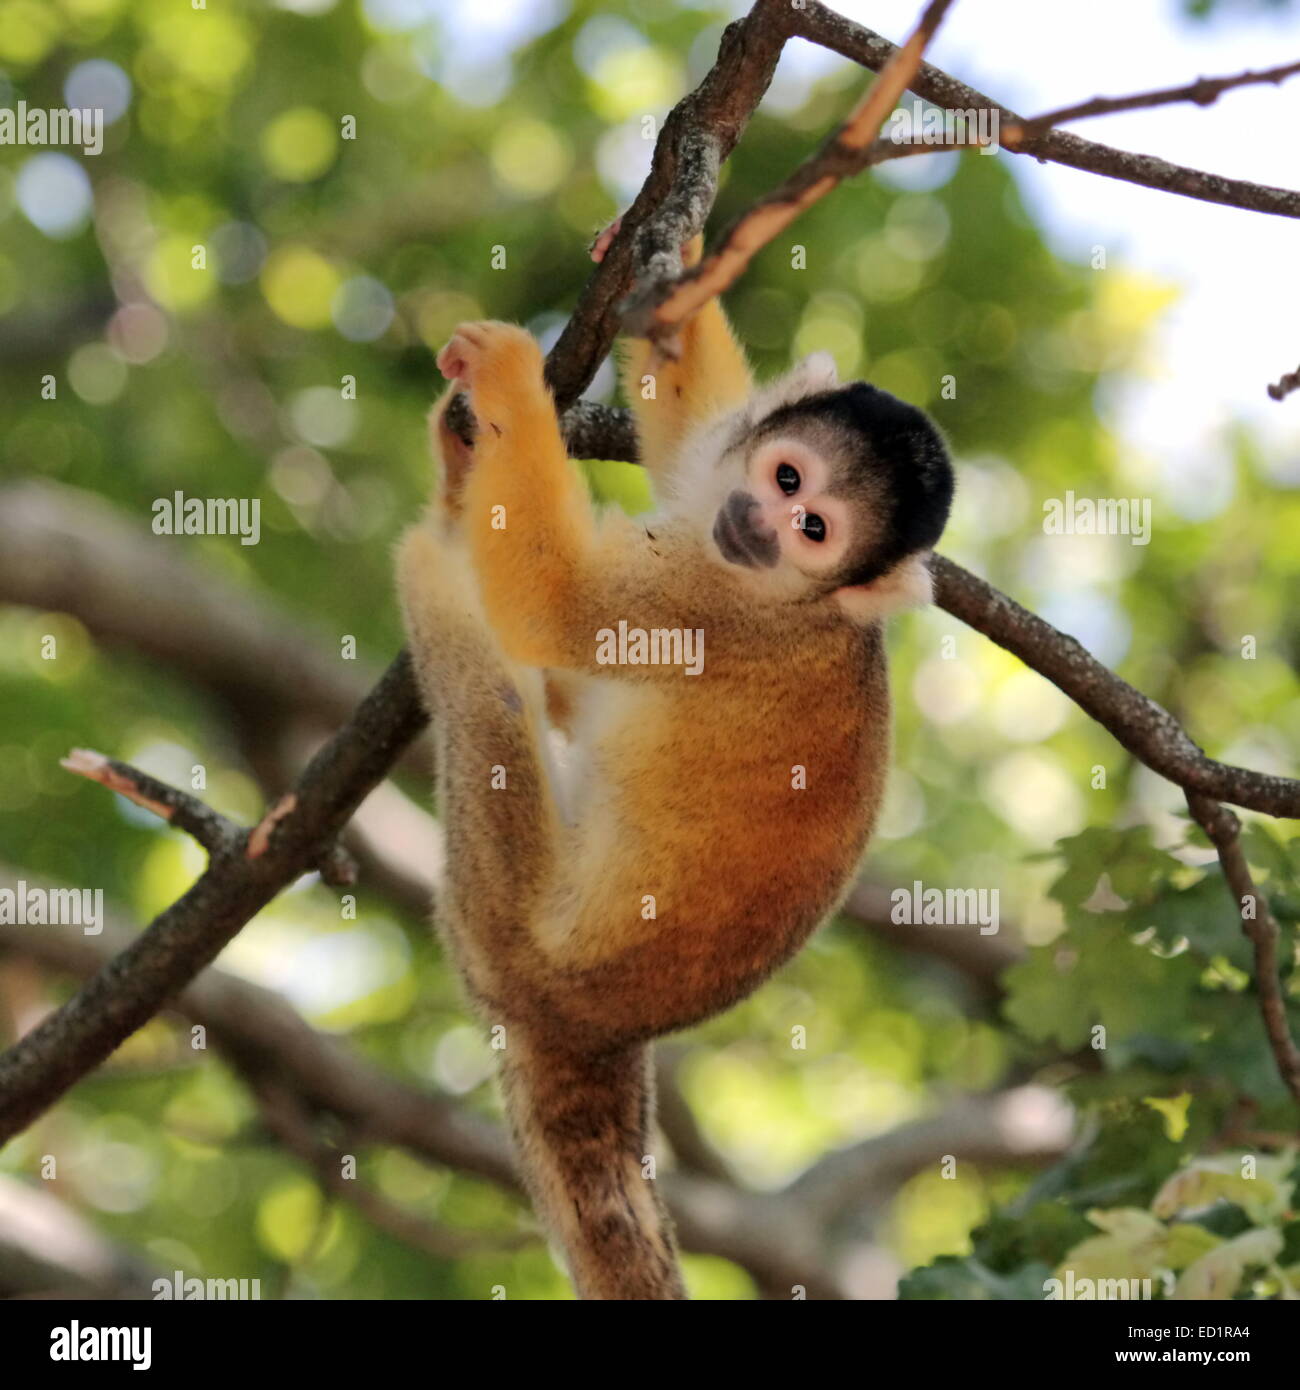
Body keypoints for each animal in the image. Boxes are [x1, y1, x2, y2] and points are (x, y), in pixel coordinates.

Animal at [397, 230, 956, 1301]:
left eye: (814, 533)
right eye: (787, 480)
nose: (760, 526)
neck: (799, 598)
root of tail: (588, 1028)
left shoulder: (711, 601)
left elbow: (558, 601)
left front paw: (512, 382)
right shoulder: (712, 501)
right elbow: (692, 423)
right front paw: (681, 252)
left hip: (494, 912)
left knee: (484, 661)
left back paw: (439, 547)